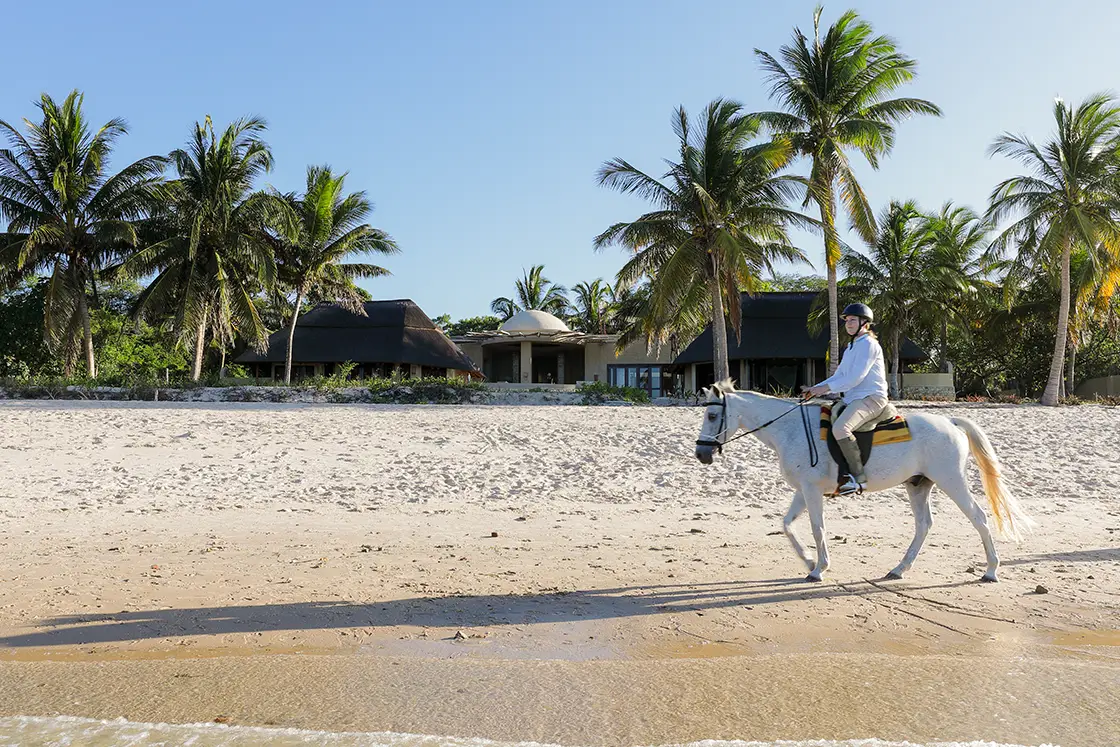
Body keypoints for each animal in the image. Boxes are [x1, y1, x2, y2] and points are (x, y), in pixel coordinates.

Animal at [694, 380, 1034, 582]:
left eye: (711, 416)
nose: (701, 454)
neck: (789, 429)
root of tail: (950, 421)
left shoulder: (811, 491)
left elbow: (817, 528)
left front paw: (819, 568)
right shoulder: (804, 490)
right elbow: (787, 524)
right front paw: (808, 561)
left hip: (952, 481)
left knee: (978, 518)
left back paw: (991, 570)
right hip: (918, 485)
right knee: (924, 525)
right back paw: (899, 569)